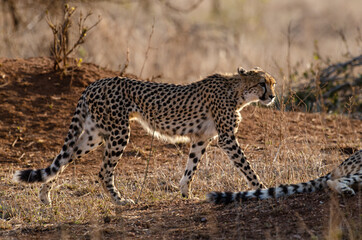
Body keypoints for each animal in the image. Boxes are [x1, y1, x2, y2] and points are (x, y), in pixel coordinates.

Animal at [12, 66, 276, 205]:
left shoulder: (201, 139)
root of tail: (94, 83)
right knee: (103, 171)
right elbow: (247, 166)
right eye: (262, 83)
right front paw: (262, 189)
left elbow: (190, 169)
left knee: (64, 159)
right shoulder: (226, 138)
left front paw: (185, 194)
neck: (238, 91)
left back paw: (45, 195)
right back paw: (120, 201)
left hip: (94, 134)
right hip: (119, 132)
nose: (272, 96)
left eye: (272, 83)